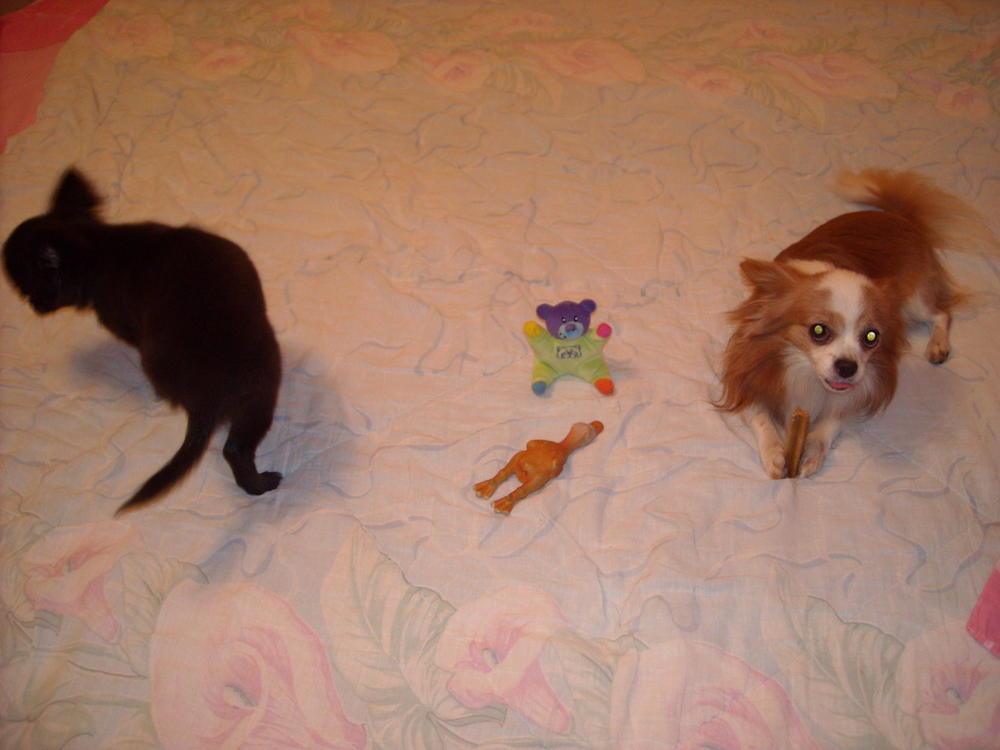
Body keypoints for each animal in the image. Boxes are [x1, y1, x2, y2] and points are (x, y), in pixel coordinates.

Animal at [717, 168, 971, 478]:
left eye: (871, 337)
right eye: (818, 331)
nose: (848, 367)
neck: (804, 374)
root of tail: (897, 216)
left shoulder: (856, 392)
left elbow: (833, 421)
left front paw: (811, 449)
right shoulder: (744, 378)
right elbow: (761, 416)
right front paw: (775, 453)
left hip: (915, 300)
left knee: (941, 313)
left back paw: (938, 346)